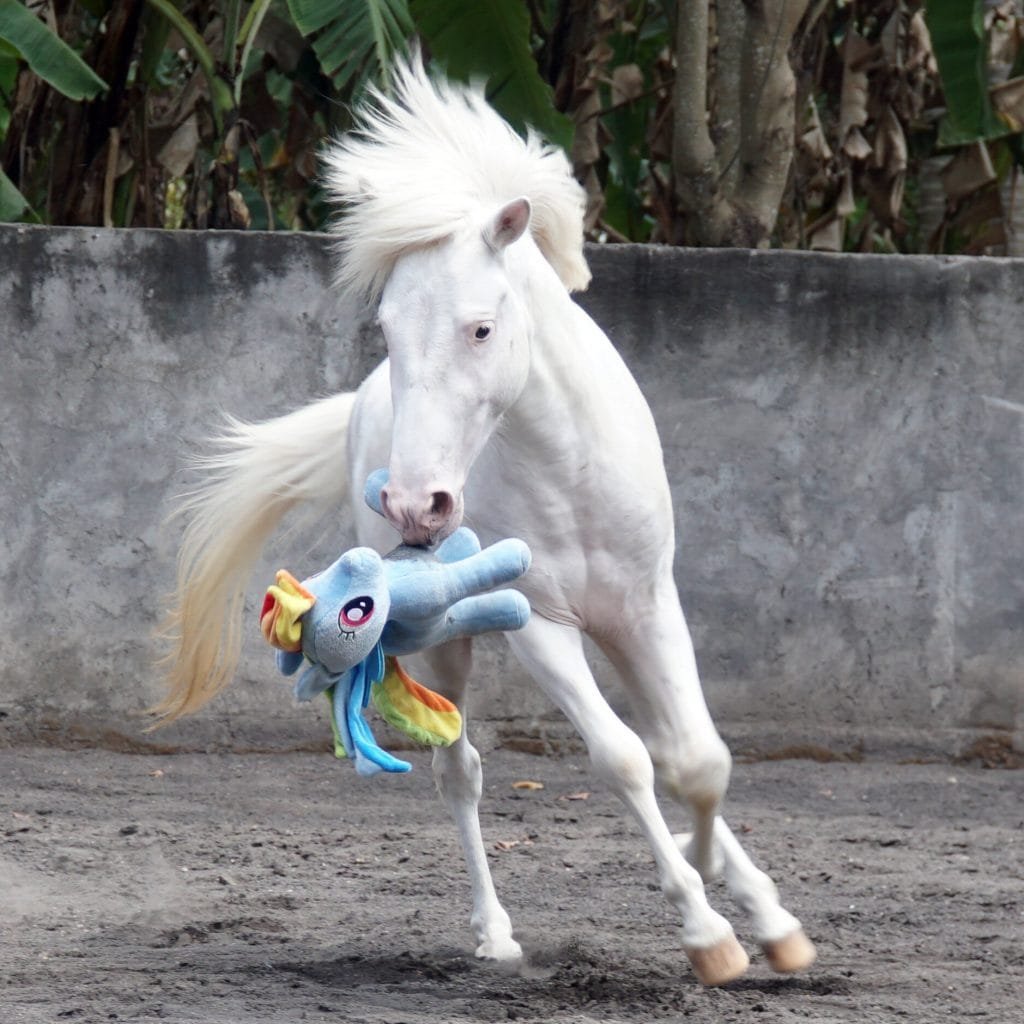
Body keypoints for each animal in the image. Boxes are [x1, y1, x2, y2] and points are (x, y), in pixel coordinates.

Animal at [156, 57, 816, 987]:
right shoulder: (540, 624)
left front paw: (761, 914)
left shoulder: (649, 605)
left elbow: (697, 758)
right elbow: (623, 758)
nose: (414, 504)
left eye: (481, 328)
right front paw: (706, 934)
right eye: (388, 327)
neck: (568, 470)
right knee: (458, 769)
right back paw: (495, 936)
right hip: (442, 638)